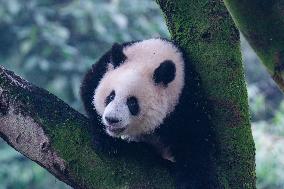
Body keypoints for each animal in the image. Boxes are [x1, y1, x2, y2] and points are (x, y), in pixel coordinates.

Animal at [80, 38, 213, 189]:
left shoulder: (185, 101)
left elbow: (195, 138)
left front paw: (193, 181)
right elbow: (88, 90)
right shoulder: (103, 67)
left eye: (132, 103)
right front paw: (107, 141)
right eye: (111, 96)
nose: (111, 119)